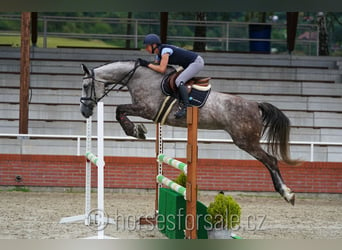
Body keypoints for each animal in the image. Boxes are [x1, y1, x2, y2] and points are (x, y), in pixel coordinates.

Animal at [80, 60, 300, 205]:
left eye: (85, 85)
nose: (84, 111)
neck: (138, 77)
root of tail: (255, 104)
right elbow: (120, 111)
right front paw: (137, 130)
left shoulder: (146, 109)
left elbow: (119, 110)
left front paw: (135, 130)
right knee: (269, 161)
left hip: (246, 141)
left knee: (271, 160)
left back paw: (287, 194)